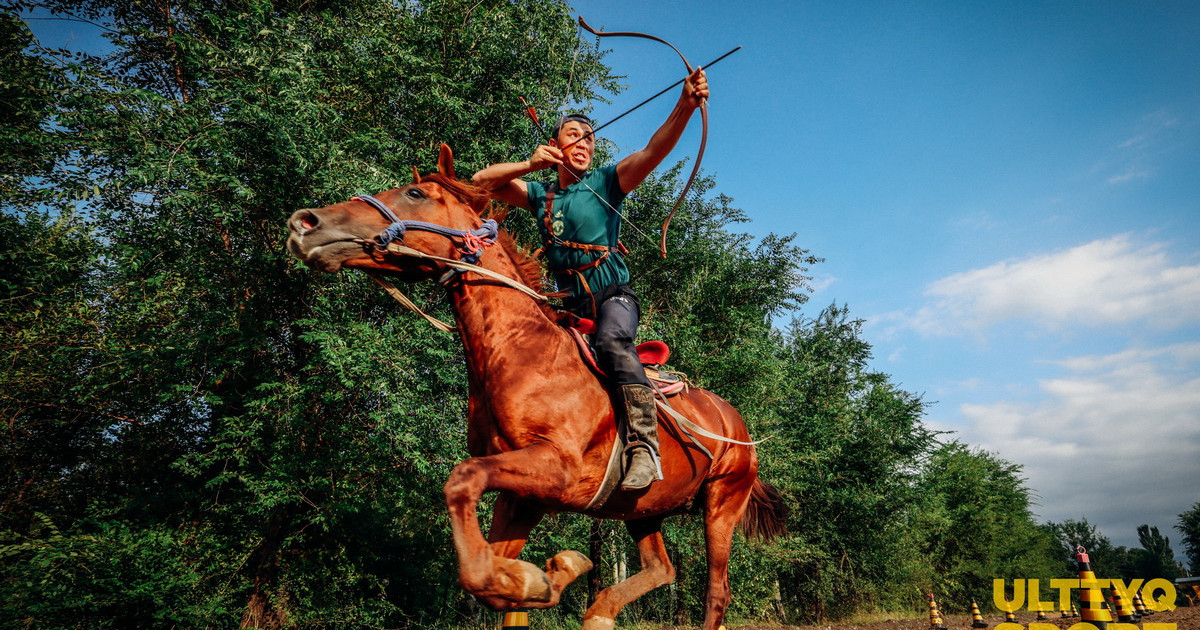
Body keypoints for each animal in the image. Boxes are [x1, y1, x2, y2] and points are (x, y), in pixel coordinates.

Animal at [284, 143, 782, 628]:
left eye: (414, 193)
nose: (304, 222)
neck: (521, 352)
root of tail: (735, 422)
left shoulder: (554, 469)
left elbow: (462, 484)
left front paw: (550, 573)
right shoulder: (520, 494)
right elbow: (481, 576)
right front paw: (545, 577)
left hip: (722, 503)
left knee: (716, 593)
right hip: (642, 507)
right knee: (662, 568)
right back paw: (599, 611)